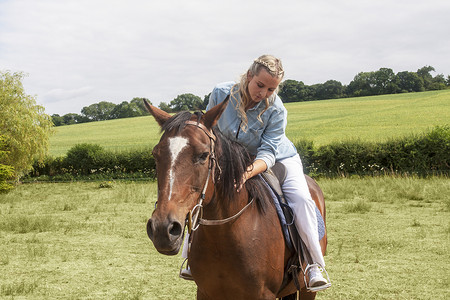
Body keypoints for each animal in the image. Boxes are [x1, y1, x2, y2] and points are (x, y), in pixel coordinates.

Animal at [144, 99, 326, 300]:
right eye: (155, 154)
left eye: (203, 155)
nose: (162, 228)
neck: (224, 236)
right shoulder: (205, 292)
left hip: (306, 290)